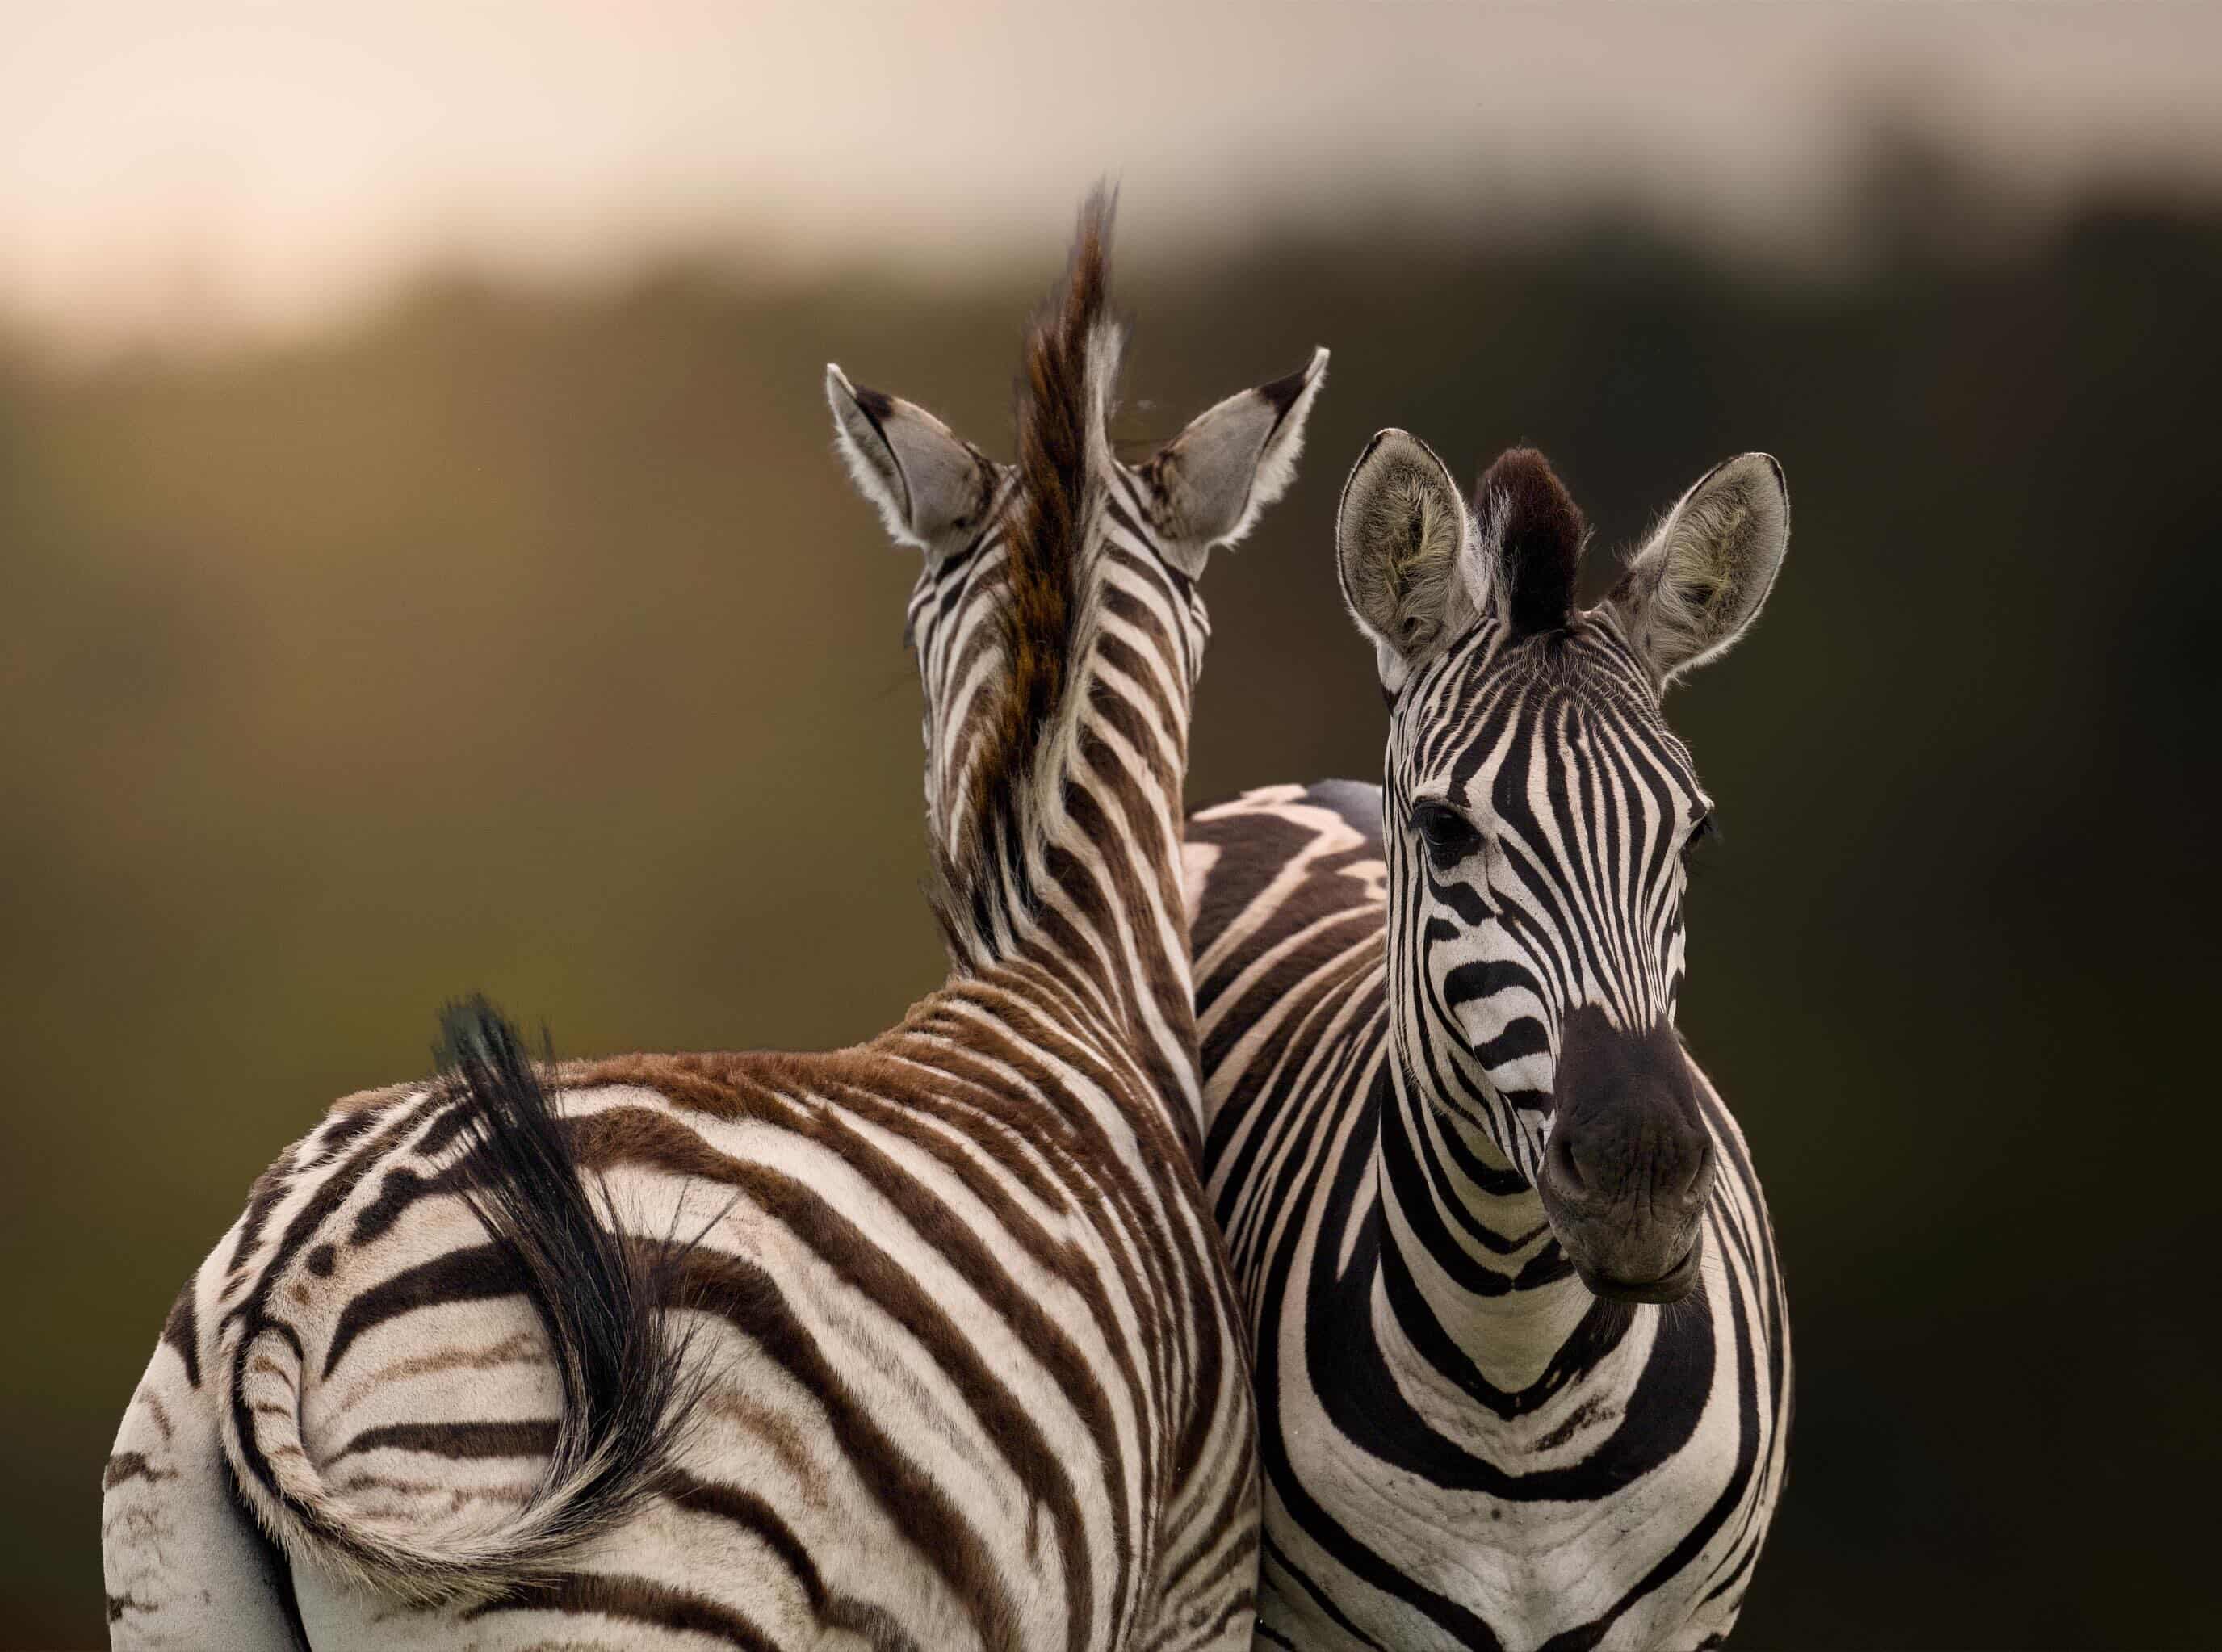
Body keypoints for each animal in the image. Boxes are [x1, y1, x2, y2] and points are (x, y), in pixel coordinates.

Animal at [1182, 431, 1794, 1649]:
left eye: (1692, 833)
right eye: (1443, 828)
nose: (1641, 1184)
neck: (1517, 1380)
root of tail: (1303, 787)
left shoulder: (1687, 1628)